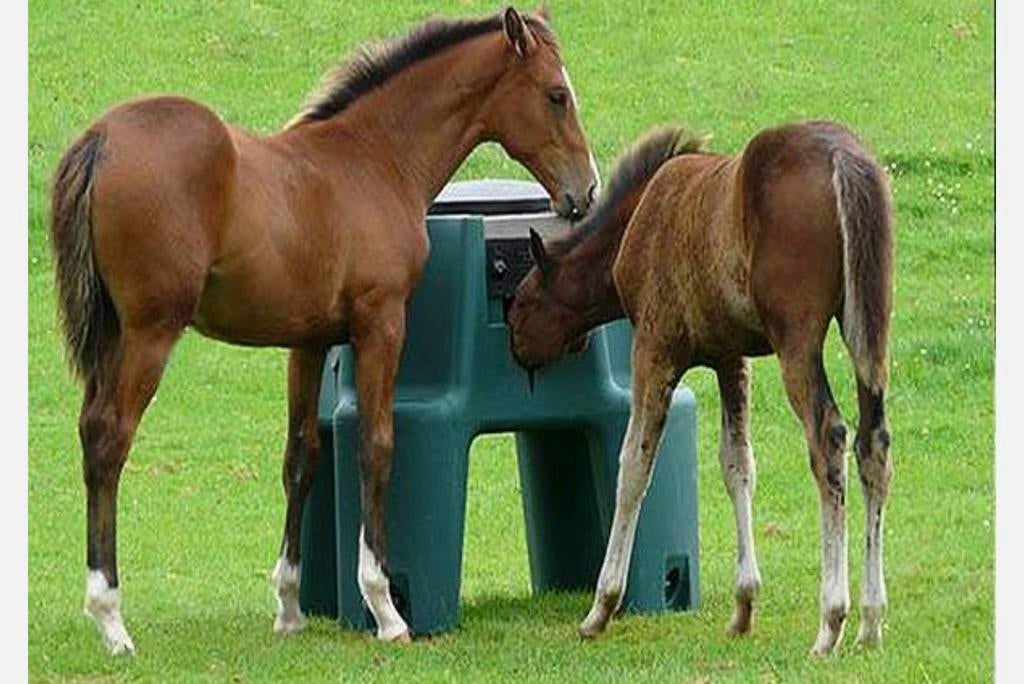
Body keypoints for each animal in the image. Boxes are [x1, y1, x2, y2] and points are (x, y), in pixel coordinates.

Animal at [49, 6, 599, 654]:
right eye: (556, 94)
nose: (585, 191)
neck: (375, 157)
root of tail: (102, 140)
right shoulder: (381, 323)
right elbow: (377, 446)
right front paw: (386, 608)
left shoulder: (308, 342)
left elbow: (302, 456)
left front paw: (288, 607)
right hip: (150, 331)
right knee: (110, 439)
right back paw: (111, 618)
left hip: (113, 333)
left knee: (93, 431)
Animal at [508, 121, 893, 655]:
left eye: (522, 303)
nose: (515, 349)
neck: (636, 223)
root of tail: (843, 159)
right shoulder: (730, 358)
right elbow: (737, 465)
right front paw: (743, 604)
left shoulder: (655, 346)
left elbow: (634, 465)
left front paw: (601, 607)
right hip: (867, 331)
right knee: (873, 444)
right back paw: (871, 620)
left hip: (798, 338)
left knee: (830, 438)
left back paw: (831, 620)